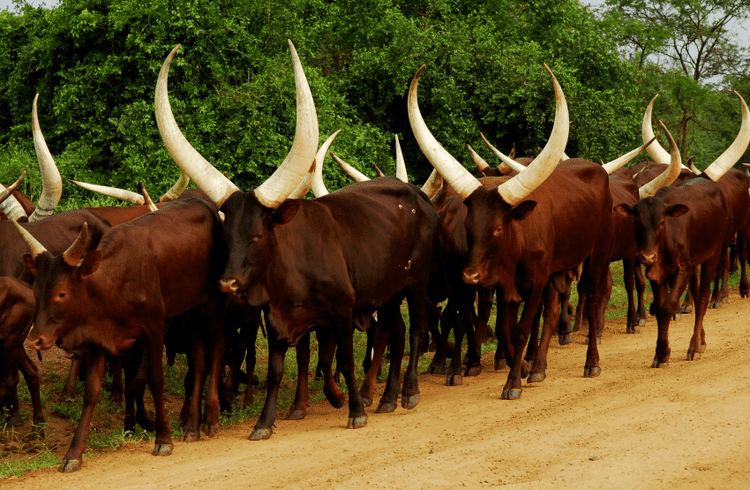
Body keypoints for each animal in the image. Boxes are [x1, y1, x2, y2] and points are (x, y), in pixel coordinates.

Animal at [14, 197, 226, 472]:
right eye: (36, 291)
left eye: (61, 293)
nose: (36, 339)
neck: (115, 281)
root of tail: (202, 202)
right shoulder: (98, 339)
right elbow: (92, 391)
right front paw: (74, 453)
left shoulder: (154, 329)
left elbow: (155, 381)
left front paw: (163, 438)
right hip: (188, 309)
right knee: (199, 359)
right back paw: (191, 426)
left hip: (213, 301)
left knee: (217, 349)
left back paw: (211, 417)